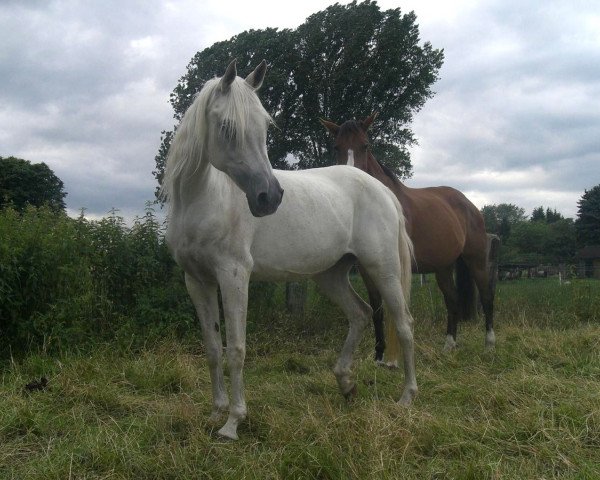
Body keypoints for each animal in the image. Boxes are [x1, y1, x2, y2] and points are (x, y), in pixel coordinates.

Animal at [163, 59, 418, 438]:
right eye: (227, 127)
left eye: (265, 126)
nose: (269, 197)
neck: (203, 199)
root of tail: (381, 189)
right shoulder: (197, 281)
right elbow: (212, 348)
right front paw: (215, 413)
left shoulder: (233, 275)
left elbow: (235, 348)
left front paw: (233, 422)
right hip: (330, 275)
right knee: (359, 314)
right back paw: (346, 384)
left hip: (383, 270)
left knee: (403, 323)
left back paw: (406, 398)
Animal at [322, 113, 500, 360]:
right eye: (336, 146)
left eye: (365, 145)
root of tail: (469, 204)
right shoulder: (367, 269)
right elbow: (377, 308)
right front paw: (378, 356)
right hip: (443, 267)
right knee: (452, 300)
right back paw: (449, 345)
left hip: (475, 261)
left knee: (486, 296)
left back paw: (489, 344)